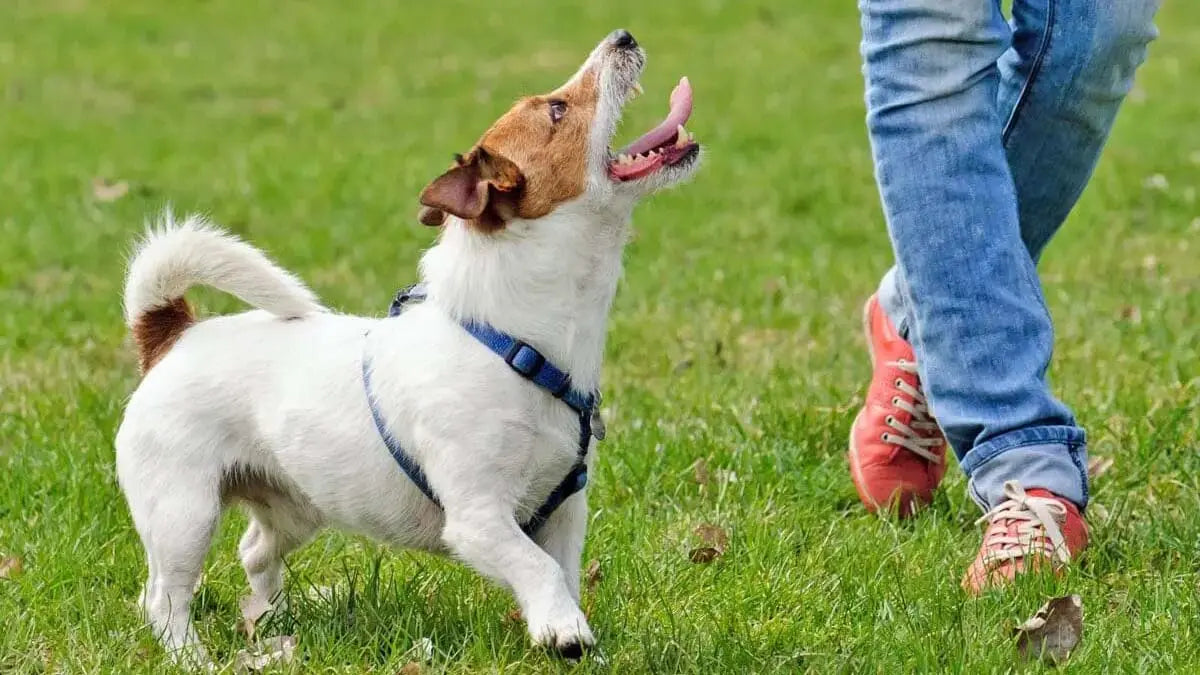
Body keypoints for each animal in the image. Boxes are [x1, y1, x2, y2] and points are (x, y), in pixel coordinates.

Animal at [117, 27, 700, 662]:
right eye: (557, 109)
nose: (623, 35)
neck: (515, 343)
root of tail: (174, 334)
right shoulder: (477, 519)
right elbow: (537, 568)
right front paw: (564, 631)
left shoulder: (565, 513)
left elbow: (561, 575)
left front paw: (564, 630)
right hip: (183, 512)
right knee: (164, 597)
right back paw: (191, 655)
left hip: (295, 506)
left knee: (253, 552)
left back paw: (273, 620)